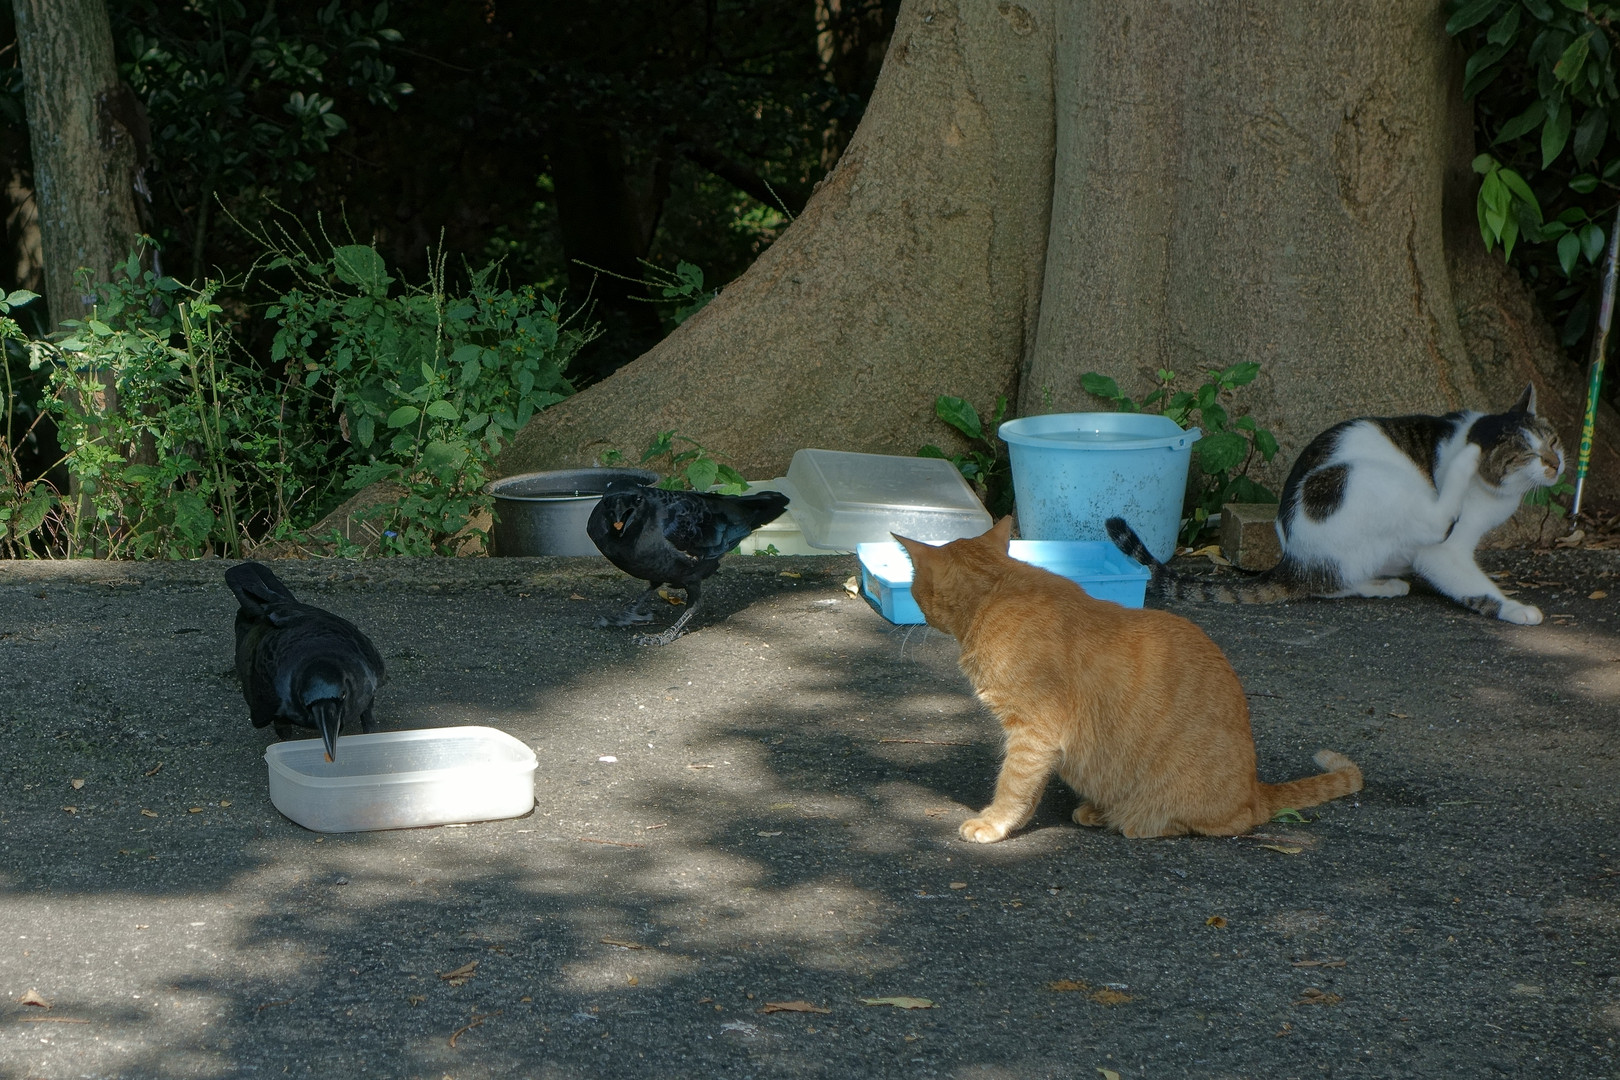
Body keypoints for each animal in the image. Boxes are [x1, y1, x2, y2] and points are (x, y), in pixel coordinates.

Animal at [892, 517, 1363, 842]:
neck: (996, 592)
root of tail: (1255, 789)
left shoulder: (1033, 732)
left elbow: (1014, 785)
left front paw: (994, 824)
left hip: (1189, 805)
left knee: (1214, 824)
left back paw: (1125, 820)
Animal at [1107, 383, 1564, 624]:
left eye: (1554, 440)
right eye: (1528, 454)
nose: (1557, 464)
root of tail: (1293, 559)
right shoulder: (1445, 552)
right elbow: (1473, 583)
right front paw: (1516, 608)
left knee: (1332, 583)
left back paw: (1382, 584)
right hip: (1363, 478)